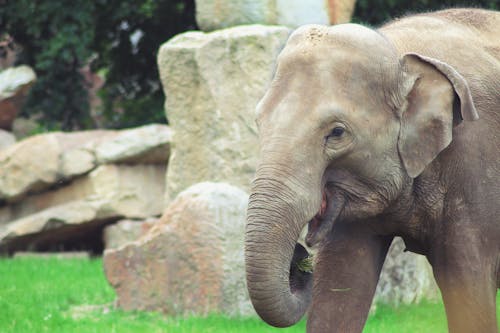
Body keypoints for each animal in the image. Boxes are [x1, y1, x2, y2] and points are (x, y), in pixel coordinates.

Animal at [246, 7, 500, 332]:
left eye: (337, 133)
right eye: (259, 122)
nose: (300, 257)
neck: (400, 51)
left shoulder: (475, 165)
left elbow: (466, 283)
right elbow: (341, 283)